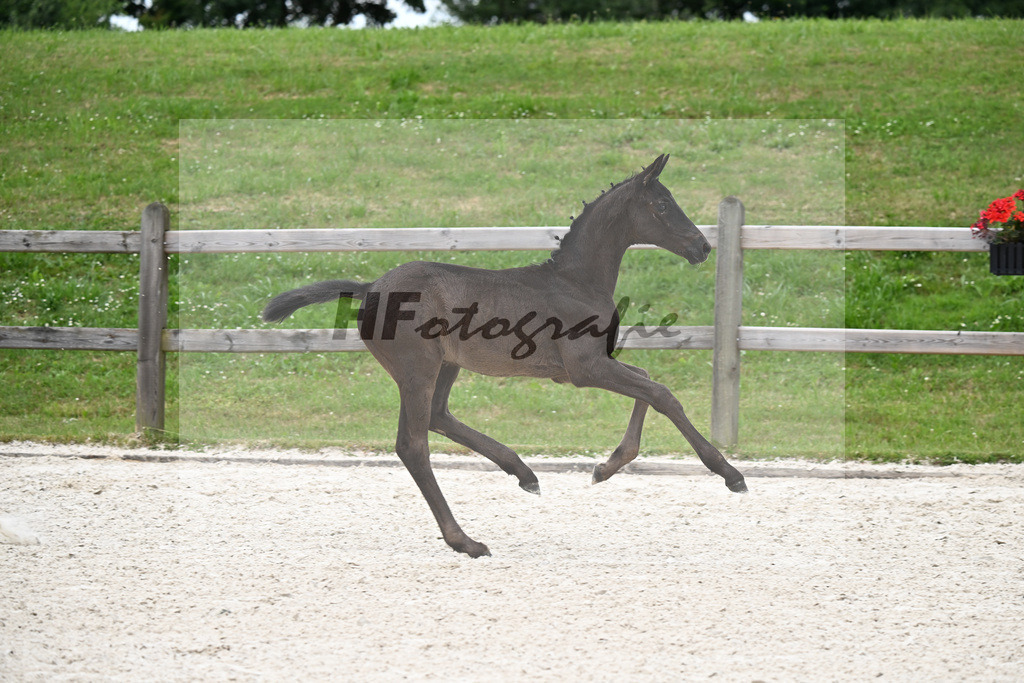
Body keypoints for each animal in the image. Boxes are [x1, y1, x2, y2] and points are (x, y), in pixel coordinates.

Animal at [263, 154, 747, 557]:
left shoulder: (587, 366)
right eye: (663, 204)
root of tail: (368, 289)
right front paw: (729, 474)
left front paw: (605, 468)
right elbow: (662, 393)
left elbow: (646, 379)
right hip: (417, 369)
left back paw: (524, 473)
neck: (576, 280)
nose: (702, 247)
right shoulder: (584, 368)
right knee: (413, 445)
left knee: (439, 416)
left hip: (445, 366)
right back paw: (466, 541)